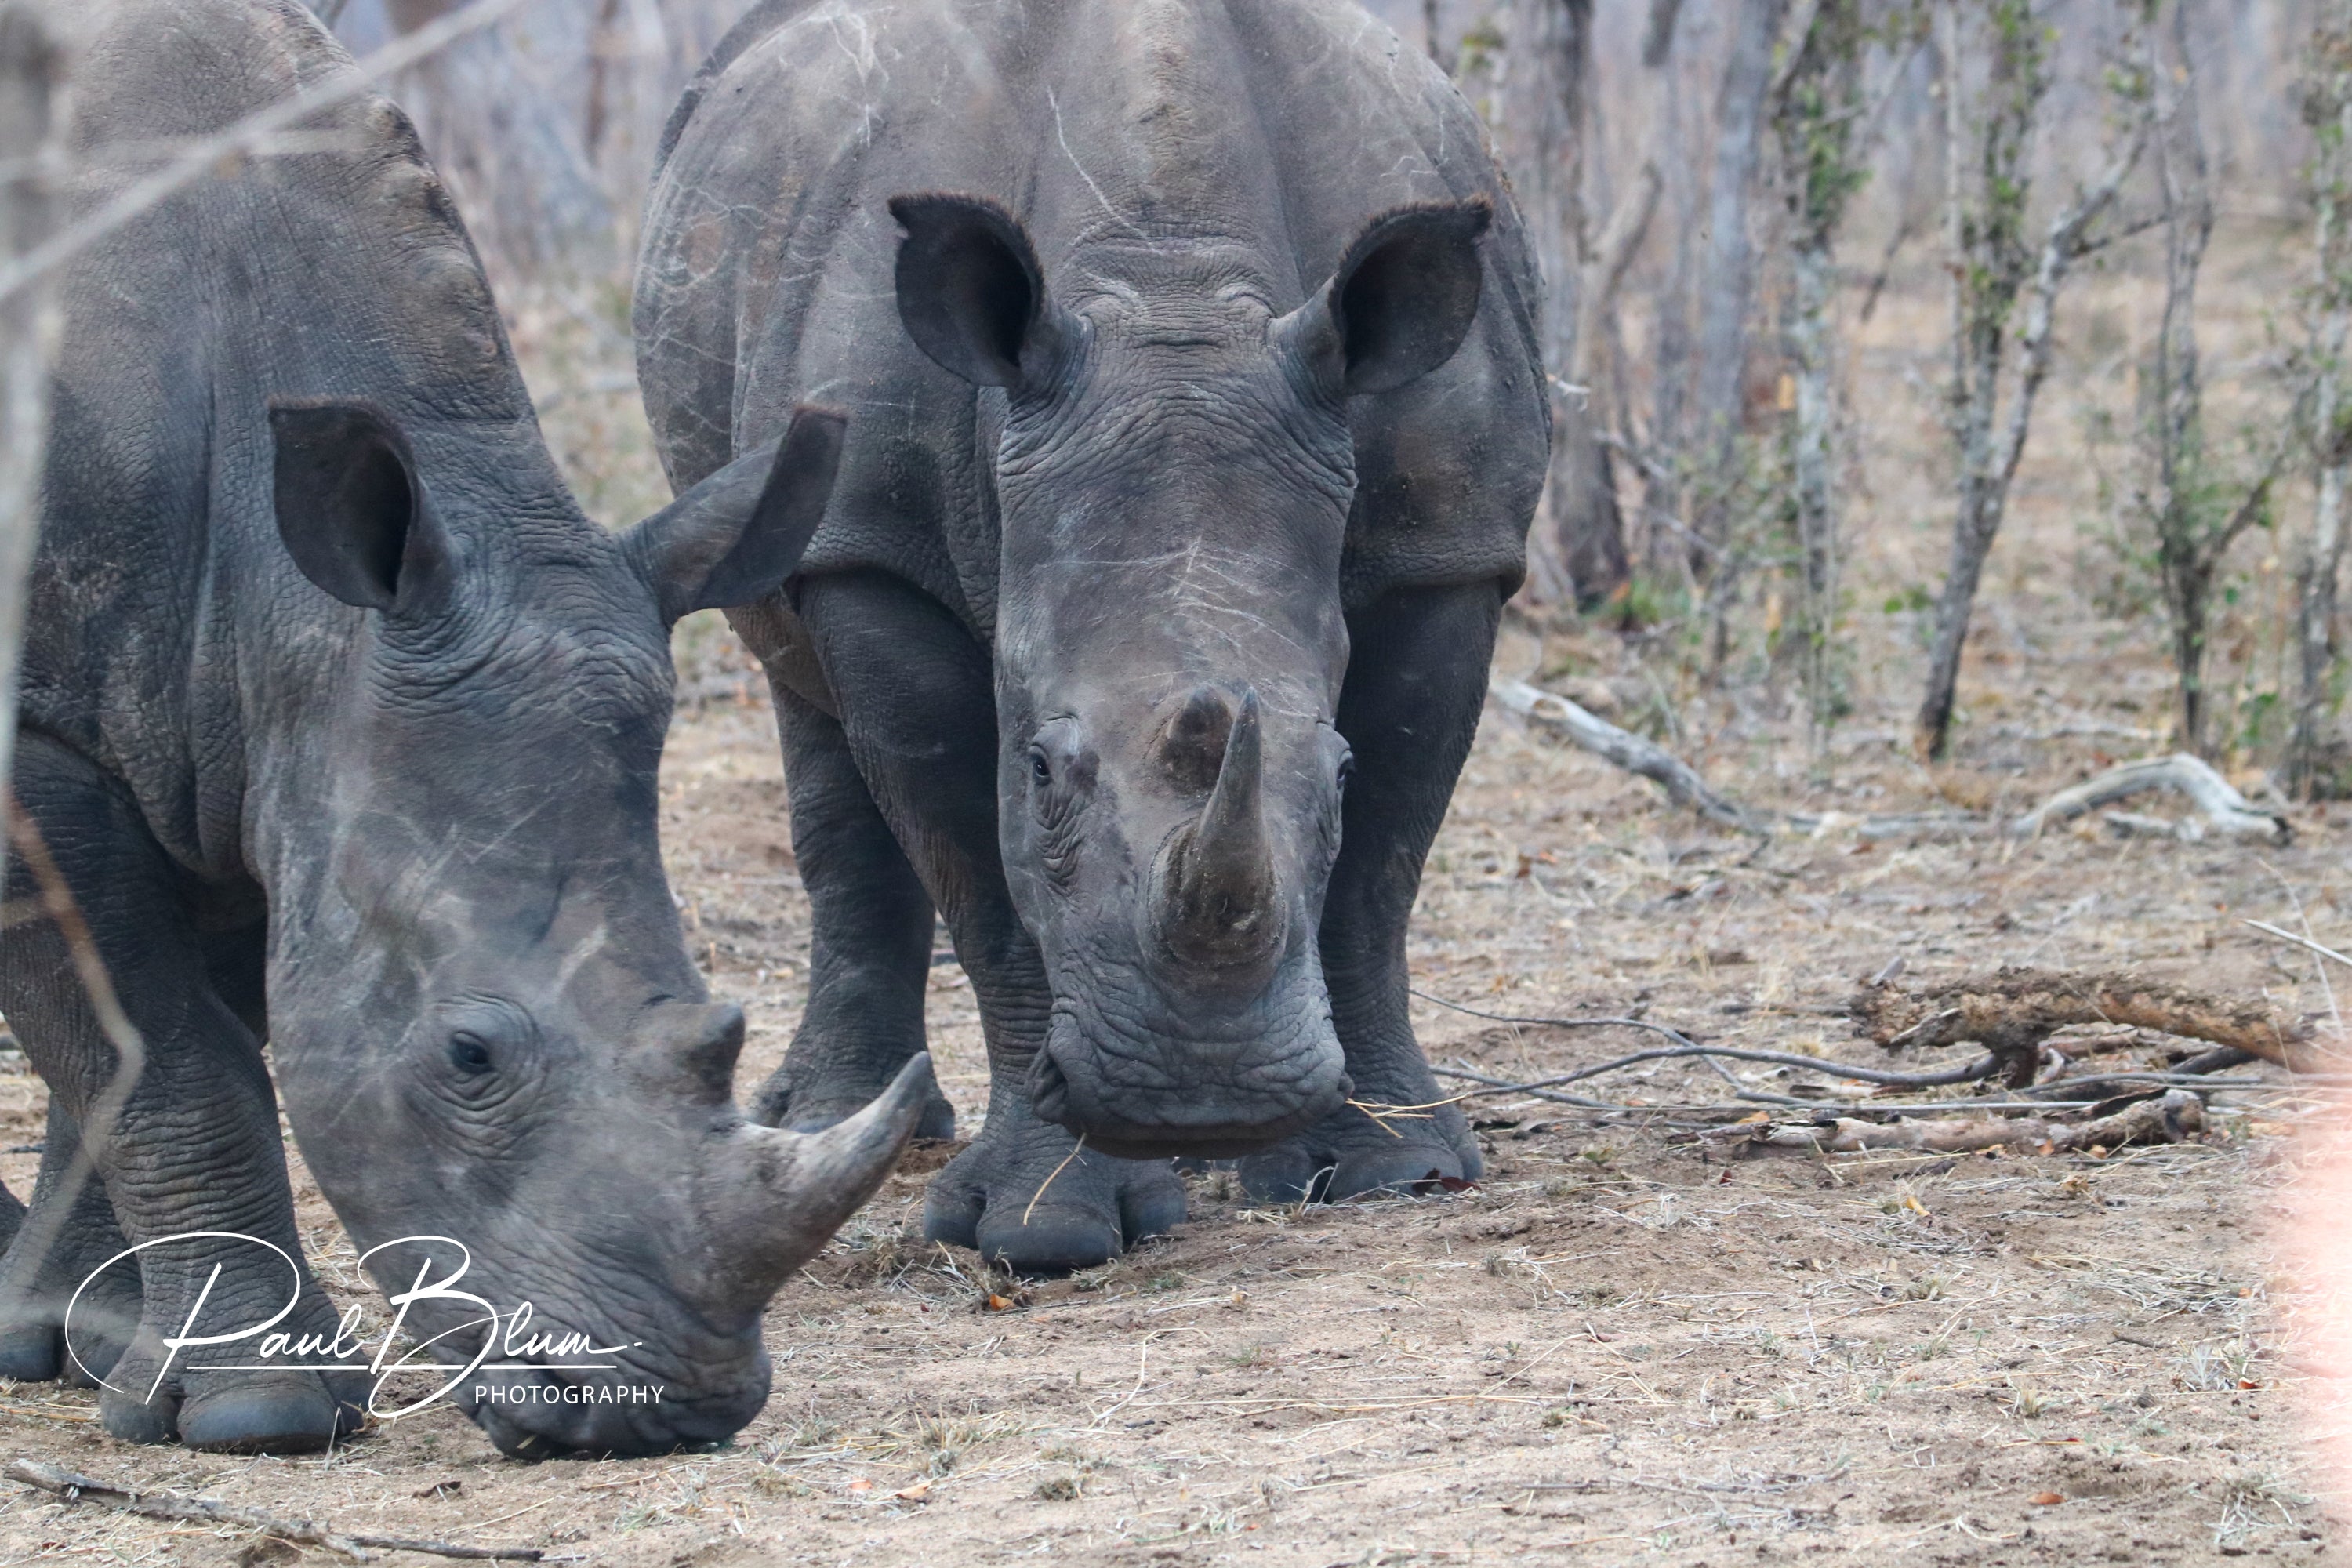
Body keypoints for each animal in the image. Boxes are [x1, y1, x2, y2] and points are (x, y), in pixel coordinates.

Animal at [0, 0, 931, 1457]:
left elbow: (147, 1040)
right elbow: (161, 1060)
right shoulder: (55, 738)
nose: (667, 1410)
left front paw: (84, 1347)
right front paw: (261, 1412)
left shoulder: (244, 743)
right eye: (470, 1055)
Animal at [635, 0, 1552, 1279]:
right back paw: (825, 1127)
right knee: (806, 703)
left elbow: (1383, 864)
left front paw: (1394, 1170)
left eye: (1334, 767)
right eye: (1040, 767)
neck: (1175, 300)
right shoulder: (876, 548)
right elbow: (980, 871)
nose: (1204, 1096)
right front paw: (1040, 1229)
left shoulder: (1450, 543)